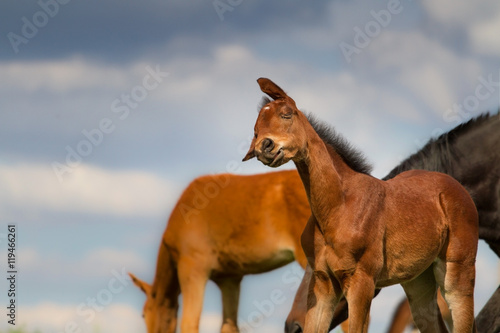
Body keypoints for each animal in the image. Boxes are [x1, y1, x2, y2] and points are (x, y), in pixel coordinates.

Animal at [244, 76, 478, 330]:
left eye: (287, 114)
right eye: (256, 129)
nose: (265, 147)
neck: (337, 207)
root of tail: (459, 190)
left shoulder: (361, 281)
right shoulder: (324, 285)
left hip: (457, 274)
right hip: (418, 282)